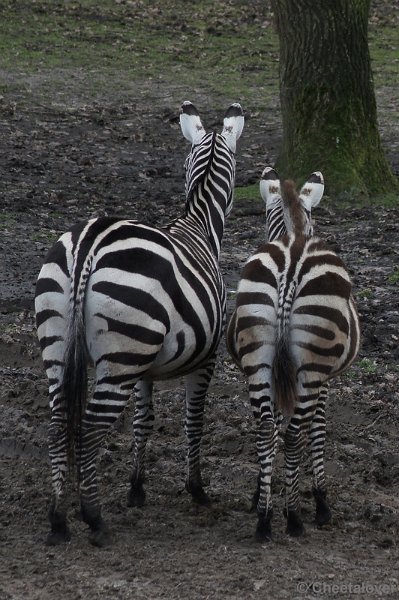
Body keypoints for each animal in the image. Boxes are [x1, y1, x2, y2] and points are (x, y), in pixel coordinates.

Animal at [36, 101, 245, 548]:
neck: (199, 226)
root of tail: (89, 244)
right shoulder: (206, 359)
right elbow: (193, 420)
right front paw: (196, 489)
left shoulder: (145, 368)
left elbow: (142, 422)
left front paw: (136, 488)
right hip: (121, 356)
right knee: (90, 427)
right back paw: (93, 518)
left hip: (66, 346)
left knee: (59, 422)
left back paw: (58, 519)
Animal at [227, 166, 360, 540]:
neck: (295, 230)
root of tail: (291, 261)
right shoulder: (325, 380)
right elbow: (317, 431)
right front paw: (320, 502)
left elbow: (269, 431)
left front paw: (260, 494)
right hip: (312, 366)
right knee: (294, 432)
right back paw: (294, 518)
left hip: (258, 356)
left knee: (265, 429)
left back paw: (263, 521)